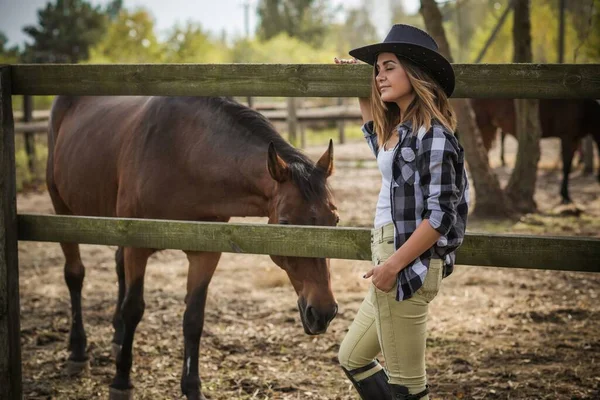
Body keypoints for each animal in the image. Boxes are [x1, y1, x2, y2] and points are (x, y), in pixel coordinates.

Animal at [47, 96, 338, 400]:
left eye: (335, 221)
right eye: (285, 223)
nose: (323, 312)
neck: (182, 154)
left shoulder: (205, 252)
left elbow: (193, 318)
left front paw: (192, 387)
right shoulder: (137, 244)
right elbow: (134, 308)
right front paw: (121, 381)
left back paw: (116, 337)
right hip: (62, 209)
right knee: (75, 275)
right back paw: (78, 352)